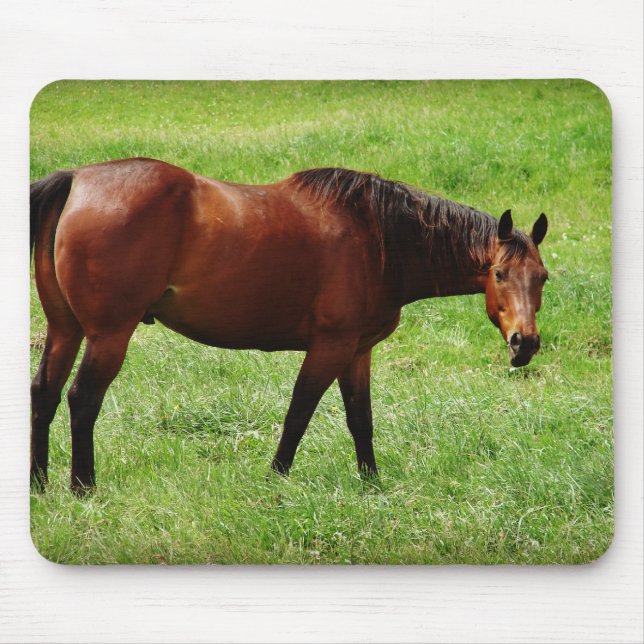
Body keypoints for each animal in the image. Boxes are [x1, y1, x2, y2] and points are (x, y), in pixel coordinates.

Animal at [30, 158, 548, 493]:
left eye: (542, 277)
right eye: (499, 274)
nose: (524, 344)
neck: (378, 237)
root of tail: (77, 180)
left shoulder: (358, 351)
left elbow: (361, 419)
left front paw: (371, 483)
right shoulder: (330, 347)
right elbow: (299, 412)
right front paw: (275, 479)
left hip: (65, 330)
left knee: (45, 393)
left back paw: (39, 483)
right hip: (109, 335)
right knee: (82, 399)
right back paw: (83, 487)